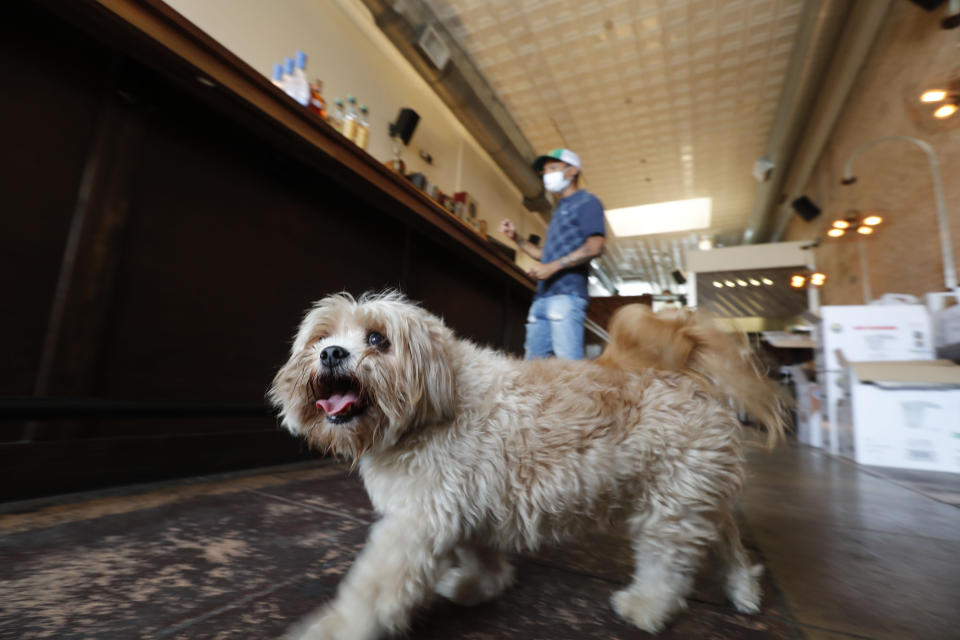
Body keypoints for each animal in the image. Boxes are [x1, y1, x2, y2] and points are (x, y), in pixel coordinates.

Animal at [270, 292, 788, 636]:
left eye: (378, 338)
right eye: (320, 337)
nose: (331, 353)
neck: (439, 402)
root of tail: (678, 370)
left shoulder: (416, 523)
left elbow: (371, 592)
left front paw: (332, 629)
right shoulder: (463, 508)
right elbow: (480, 556)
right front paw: (480, 585)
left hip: (669, 507)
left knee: (669, 566)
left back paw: (647, 606)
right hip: (693, 493)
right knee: (726, 539)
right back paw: (743, 589)